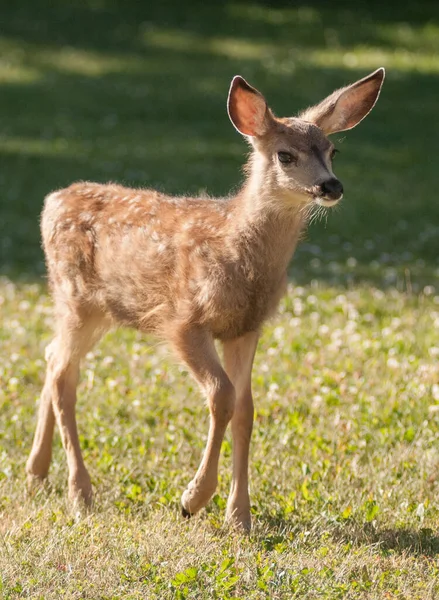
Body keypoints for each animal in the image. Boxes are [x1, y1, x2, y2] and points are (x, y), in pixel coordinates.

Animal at [27, 68, 384, 532]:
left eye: (332, 150)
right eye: (285, 155)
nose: (331, 185)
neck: (237, 252)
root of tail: (51, 201)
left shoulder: (246, 328)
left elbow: (246, 409)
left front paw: (240, 516)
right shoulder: (184, 321)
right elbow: (222, 396)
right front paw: (192, 499)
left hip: (91, 309)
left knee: (52, 358)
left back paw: (36, 471)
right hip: (77, 300)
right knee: (63, 376)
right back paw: (80, 492)